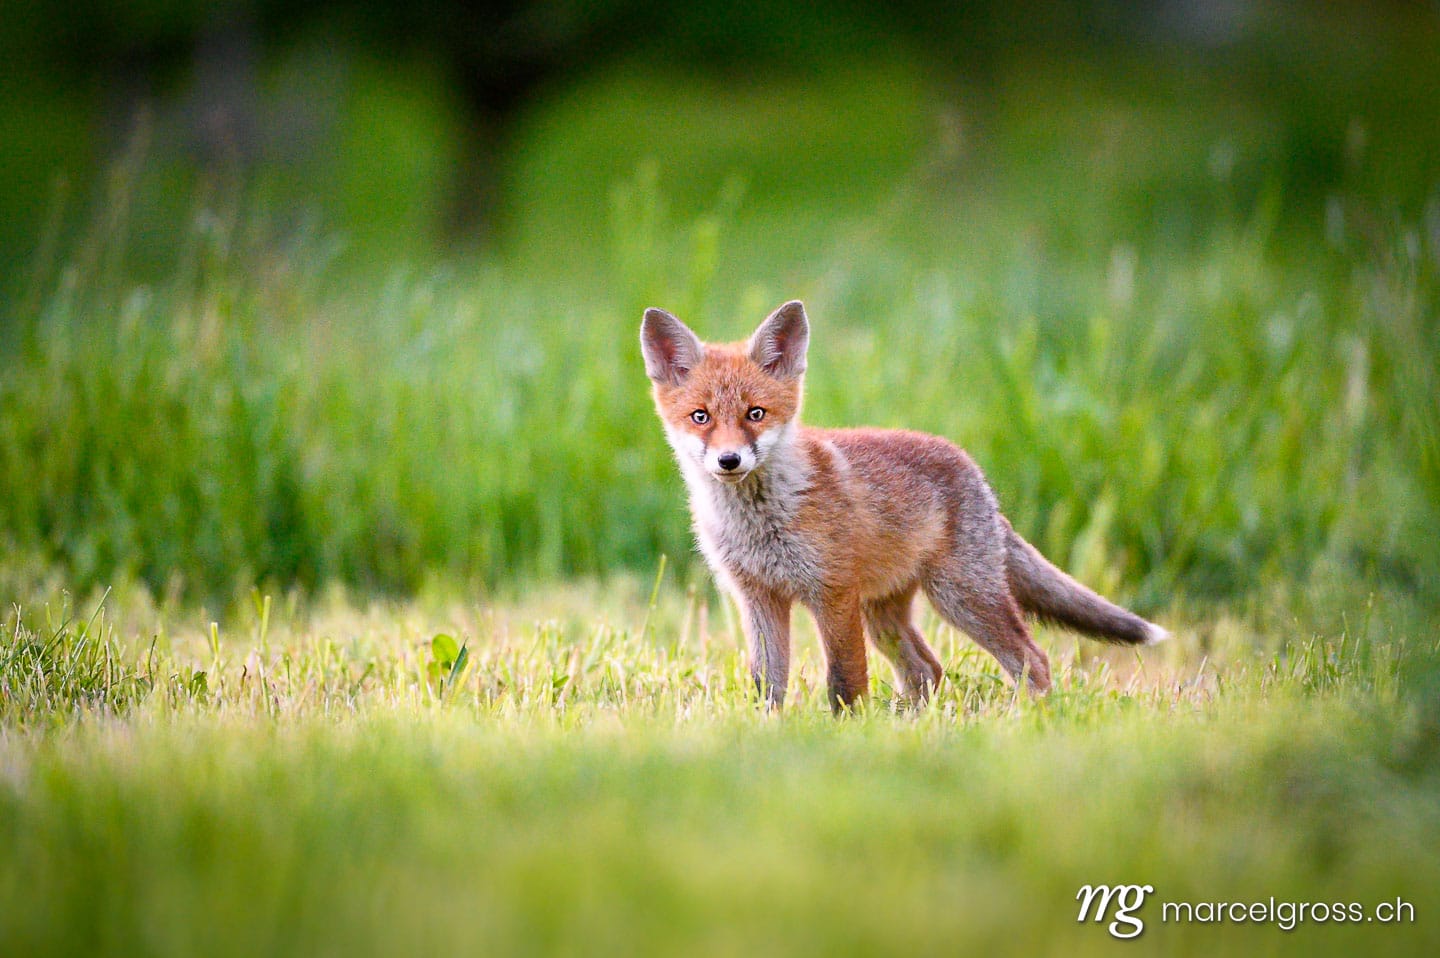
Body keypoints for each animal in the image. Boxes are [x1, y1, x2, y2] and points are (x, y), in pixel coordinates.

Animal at [640, 300, 1168, 712]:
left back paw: (1025, 717)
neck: (760, 522)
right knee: (928, 669)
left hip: (961, 597)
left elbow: (845, 680)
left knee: (1030, 659)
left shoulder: (834, 593)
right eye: (701, 417)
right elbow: (767, 685)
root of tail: (975, 474)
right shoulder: (758, 599)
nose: (729, 460)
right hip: (885, 614)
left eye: (756, 414)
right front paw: (768, 731)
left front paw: (844, 733)